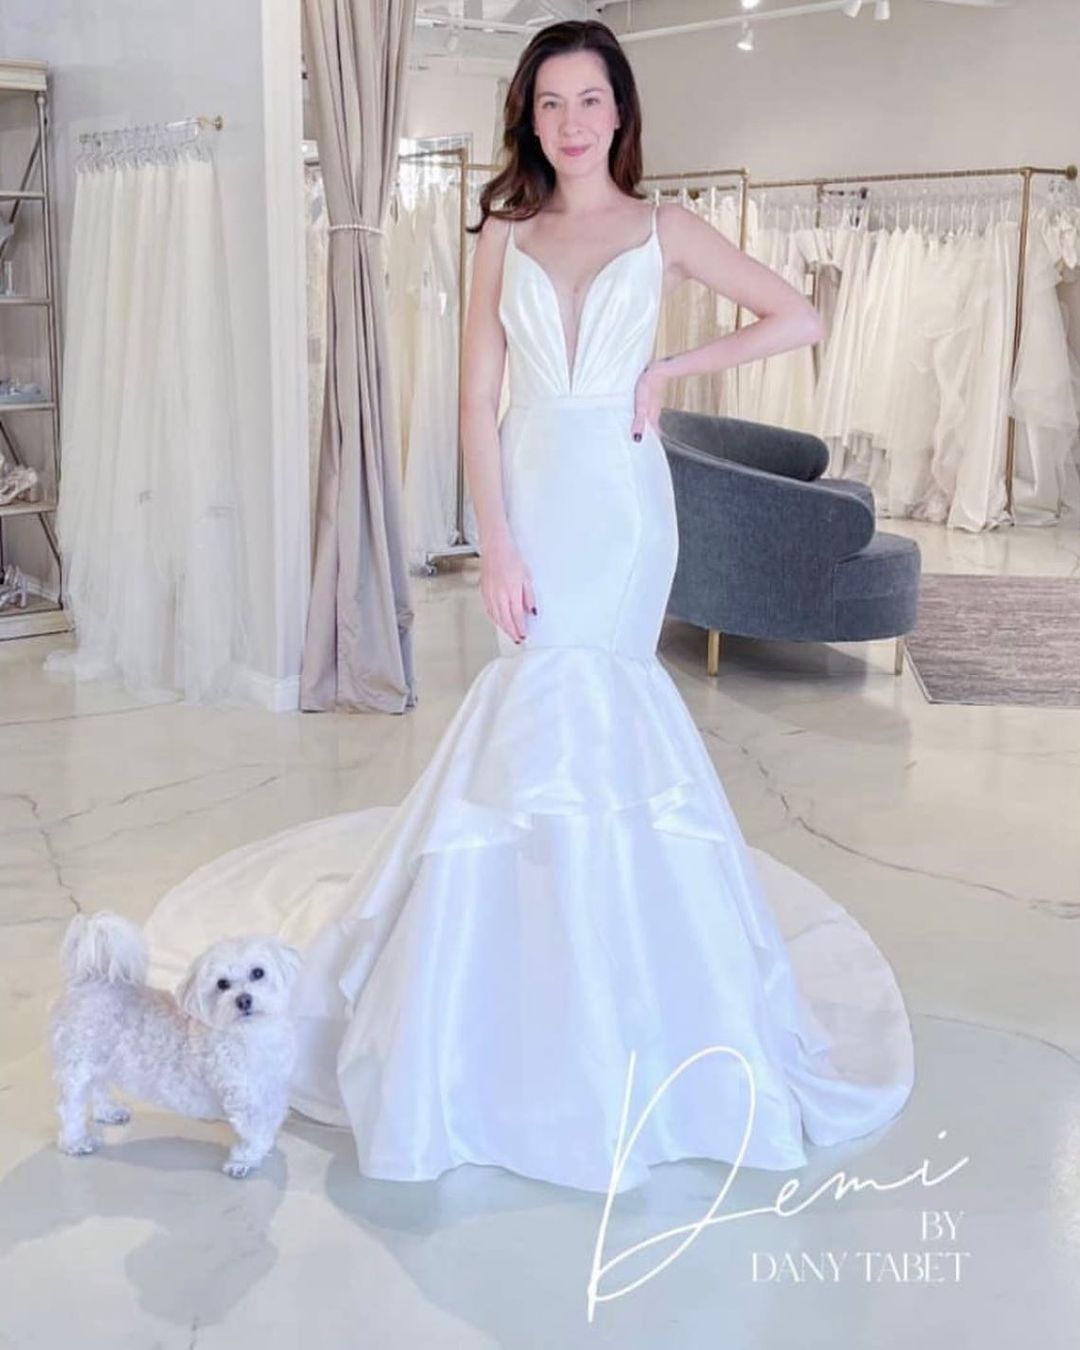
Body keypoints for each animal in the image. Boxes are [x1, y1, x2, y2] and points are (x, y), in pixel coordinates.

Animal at [48, 911, 302, 1177]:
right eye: (222, 984)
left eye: (258, 972)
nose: (243, 1000)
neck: (252, 1034)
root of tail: (87, 980)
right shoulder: (243, 1098)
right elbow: (254, 1133)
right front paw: (243, 1160)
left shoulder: (273, 1090)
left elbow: (269, 1123)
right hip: (78, 1065)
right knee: (70, 1108)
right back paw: (75, 1142)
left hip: (100, 1060)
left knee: (98, 1087)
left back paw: (108, 1112)